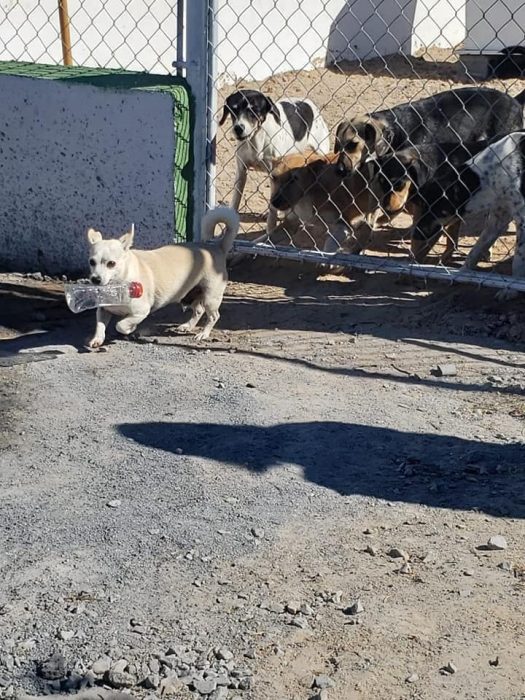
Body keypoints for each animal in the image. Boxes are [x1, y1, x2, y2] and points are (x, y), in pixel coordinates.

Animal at [86, 205, 239, 348]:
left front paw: (130, 328)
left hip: (210, 298)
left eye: (111, 264)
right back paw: (187, 326)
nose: (95, 279)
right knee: (199, 310)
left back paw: (203, 334)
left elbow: (121, 325)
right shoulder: (103, 310)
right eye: (91, 262)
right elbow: (100, 326)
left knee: (214, 316)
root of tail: (217, 247)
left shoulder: (141, 312)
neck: (118, 285)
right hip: (191, 295)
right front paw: (97, 340)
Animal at [218, 89, 328, 232]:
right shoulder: (241, 171)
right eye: (233, 110)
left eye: (254, 110)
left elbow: (272, 213)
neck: (256, 140)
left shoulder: (273, 174)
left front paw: (270, 231)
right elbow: (236, 201)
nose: (238, 128)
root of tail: (308, 102)